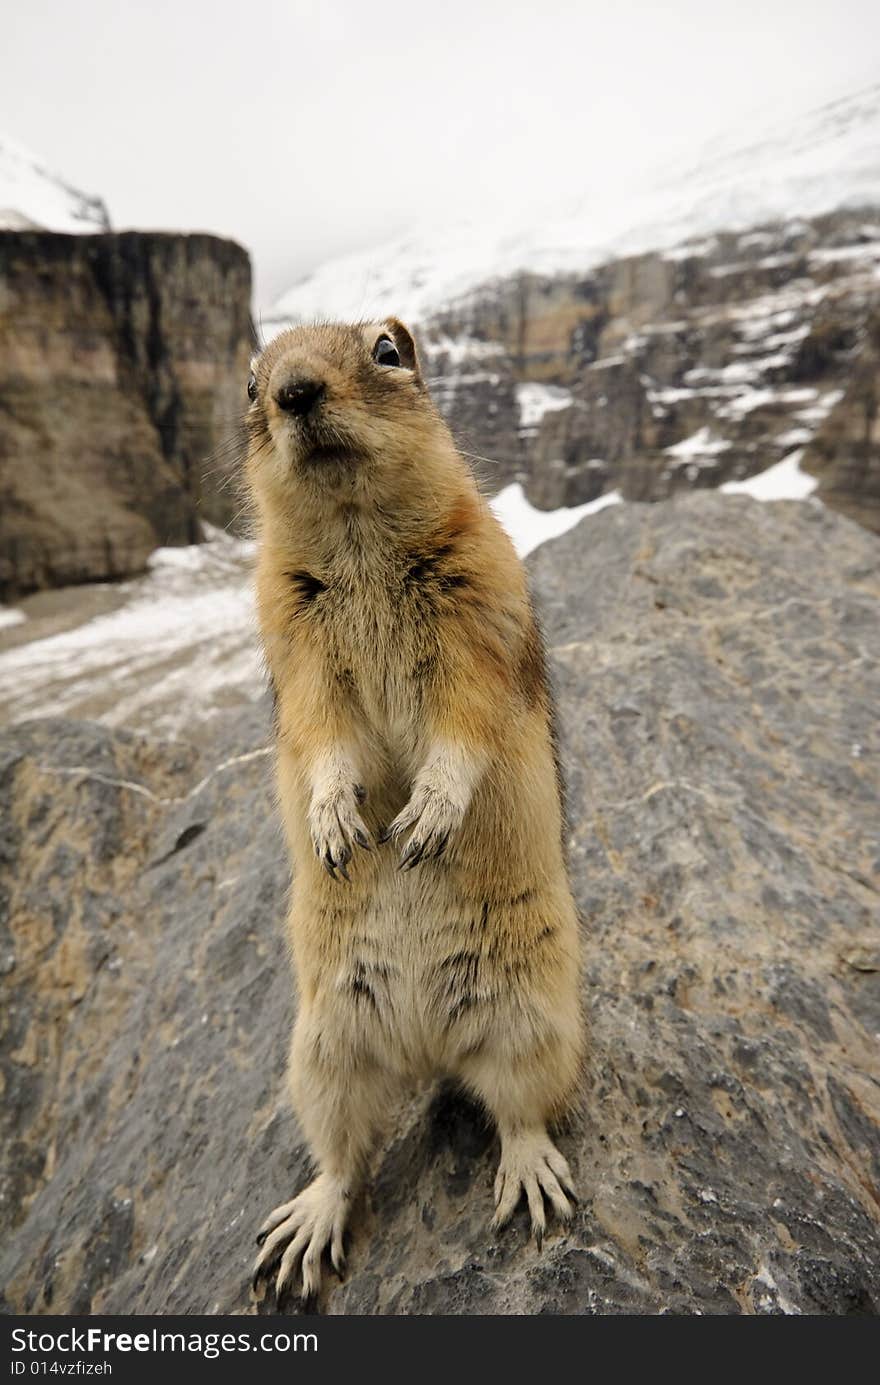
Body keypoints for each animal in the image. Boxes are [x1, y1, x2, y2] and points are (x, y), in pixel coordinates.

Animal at [246, 318, 584, 1301]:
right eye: (251, 381)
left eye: (388, 349)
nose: (295, 391)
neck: (357, 538)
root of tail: (429, 1049)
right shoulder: (298, 650)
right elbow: (326, 742)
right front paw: (337, 826)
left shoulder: (480, 618)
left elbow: (463, 730)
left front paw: (424, 822)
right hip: (322, 1053)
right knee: (343, 1157)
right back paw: (301, 1229)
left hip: (534, 1018)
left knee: (520, 1111)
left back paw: (535, 1183)